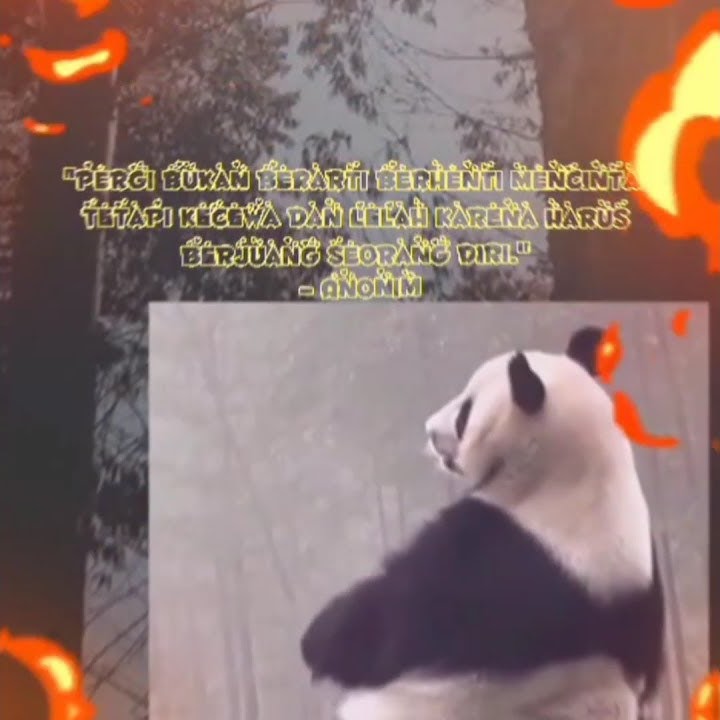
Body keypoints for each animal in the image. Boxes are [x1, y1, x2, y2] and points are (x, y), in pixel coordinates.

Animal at [300, 326, 665, 720]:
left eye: (464, 414)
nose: (430, 430)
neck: (575, 478)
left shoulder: (492, 558)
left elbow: (382, 626)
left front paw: (318, 639)